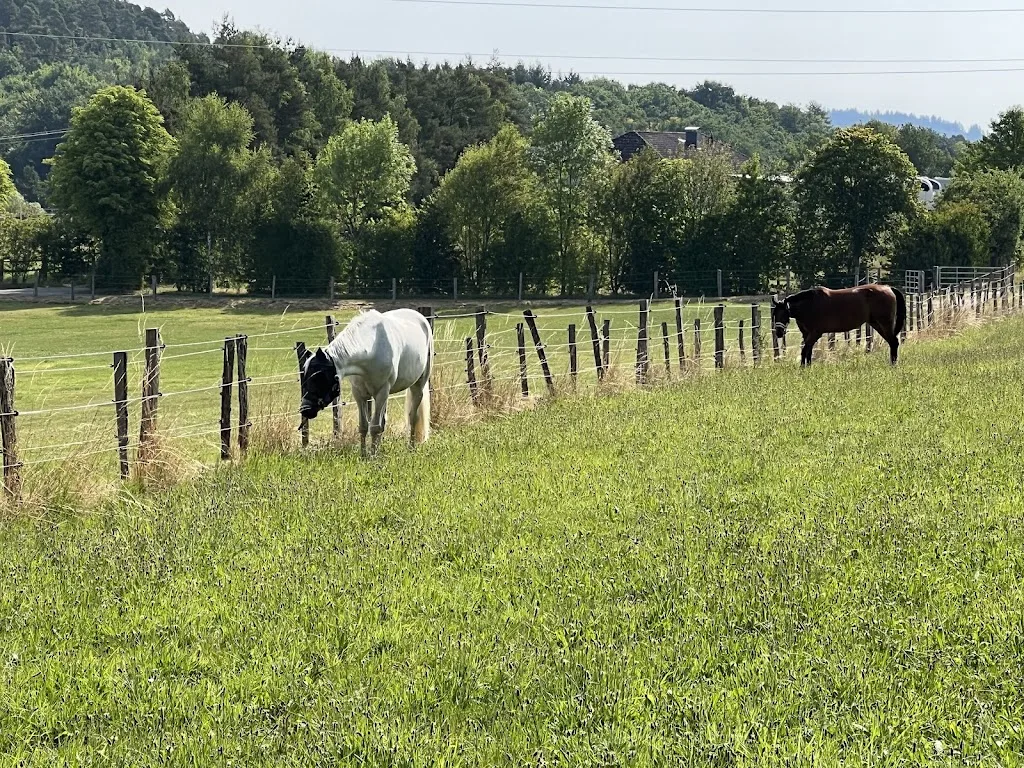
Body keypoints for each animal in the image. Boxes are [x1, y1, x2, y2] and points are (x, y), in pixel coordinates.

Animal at [298, 308, 433, 456]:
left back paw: (411, 448)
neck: (371, 349)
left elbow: (375, 427)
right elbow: (364, 426)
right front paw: (364, 455)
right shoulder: (359, 394)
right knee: (384, 421)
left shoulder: (381, 392)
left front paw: (373, 456)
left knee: (413, 416)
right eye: (305, 376)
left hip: (418, 386)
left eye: (318, 376)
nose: (305, 410)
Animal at [771, 284, 907, 367]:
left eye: (784, 313)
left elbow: (805, 350)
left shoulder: (815, 334)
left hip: (884, 324)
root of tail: (888, 288)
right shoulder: (807, 334)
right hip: (877, 324)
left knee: (894, 342)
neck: (810, 304)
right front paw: (807, 366)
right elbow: (807, 351)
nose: (779, 332)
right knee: (892, 342)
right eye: (774, 314)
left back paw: (893, 365)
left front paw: (803, 368)